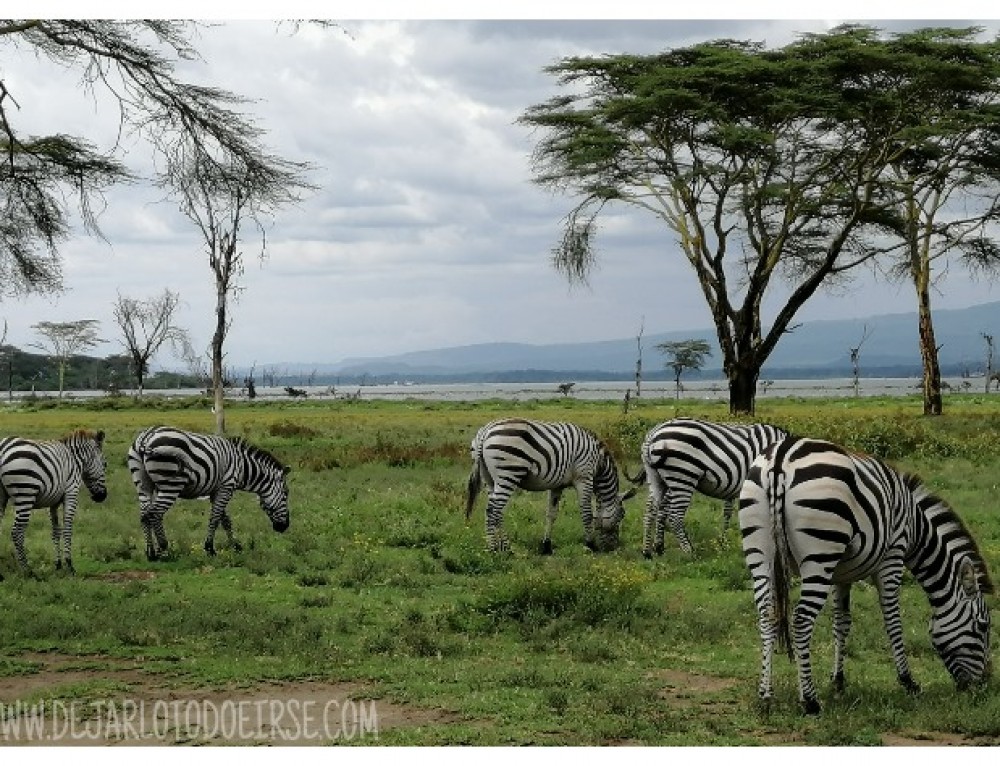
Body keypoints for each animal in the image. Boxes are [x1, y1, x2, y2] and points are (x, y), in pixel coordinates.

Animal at [0, 428, 108, 580]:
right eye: (105, 464)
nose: (102, 496)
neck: (76, 459)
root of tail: (3, 448)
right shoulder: (71, 493)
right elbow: (67, 530)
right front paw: (69, 566)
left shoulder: (53, 501)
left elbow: (56, 532)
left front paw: (58, 565)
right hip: (25, 493)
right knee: (17, 533)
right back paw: (28, 571)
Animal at [127, 428, 292, 560]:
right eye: (286, 494)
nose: (284, 527)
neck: (242, 467)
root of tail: (146, 437)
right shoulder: (226, 487)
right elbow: (215, 518)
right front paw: (210, 549)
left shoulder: (216, 491)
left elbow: (225, 520)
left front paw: (236, 546)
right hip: (171, 484)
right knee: (155, 514)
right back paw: (164, 550)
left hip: (143, 484)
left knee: (144, 515)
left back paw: (150, 552)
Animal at [464, 416, 636, 556]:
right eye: (622, 515)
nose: (613, 547)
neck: (599, 462)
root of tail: (485, 432)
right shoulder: (584, 477)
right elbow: (586, 512)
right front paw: (590, 545)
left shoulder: (557, 485)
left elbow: (551, 514)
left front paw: (546, 546)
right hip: (508, 473)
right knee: (493, 510)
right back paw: (498, 549)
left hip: (490, 479)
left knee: (495, 511)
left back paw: (501, 547)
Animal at [640, 420, 788, 560]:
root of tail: (653, 434)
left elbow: (728, 512)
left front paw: (724, 543)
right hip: (683, 476)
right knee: (675, 516)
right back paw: (690, 552)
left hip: (657, 478)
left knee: (651, 510)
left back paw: (649, 551)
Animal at [744, 436, 992, 716]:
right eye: (983, 626)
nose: (984, 685)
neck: (916, 530)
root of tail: (781, 456)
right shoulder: (892, 557)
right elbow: (893, 622)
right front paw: (908, 682)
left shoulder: (840, 574)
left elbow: (841, 623)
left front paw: (838, 682)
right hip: (820, 553)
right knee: (801, 620)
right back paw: (810, 701)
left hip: (760, 550)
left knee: (766, 614)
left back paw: (765, 696)